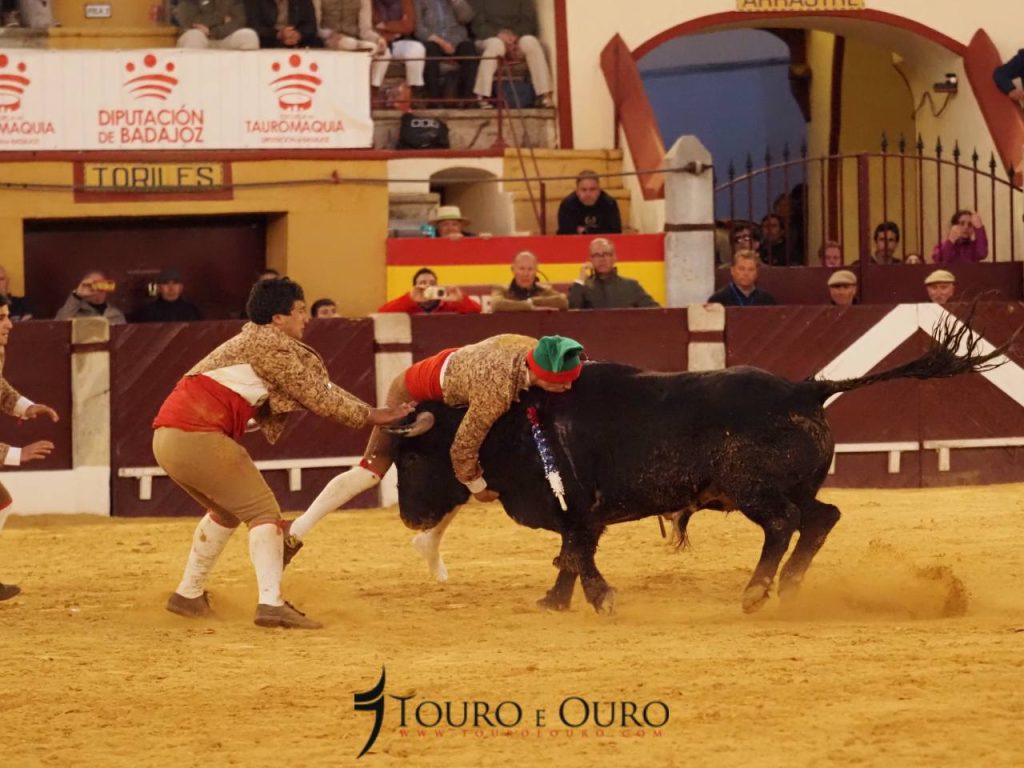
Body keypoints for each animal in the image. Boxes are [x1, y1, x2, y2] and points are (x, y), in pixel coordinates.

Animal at [390, 312, 1010, 614]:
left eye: (412, 458)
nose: (409, 519)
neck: (512, 423)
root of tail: (805, 389)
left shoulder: (577, 510)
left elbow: (576, 553)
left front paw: (600, 599)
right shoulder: (580, 516)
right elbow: (569, 556)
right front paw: (555, 602)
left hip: (756, 490)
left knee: (785, 524)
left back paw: (757, 592)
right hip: (796, 486)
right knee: (821, 518)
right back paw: (789, 588)